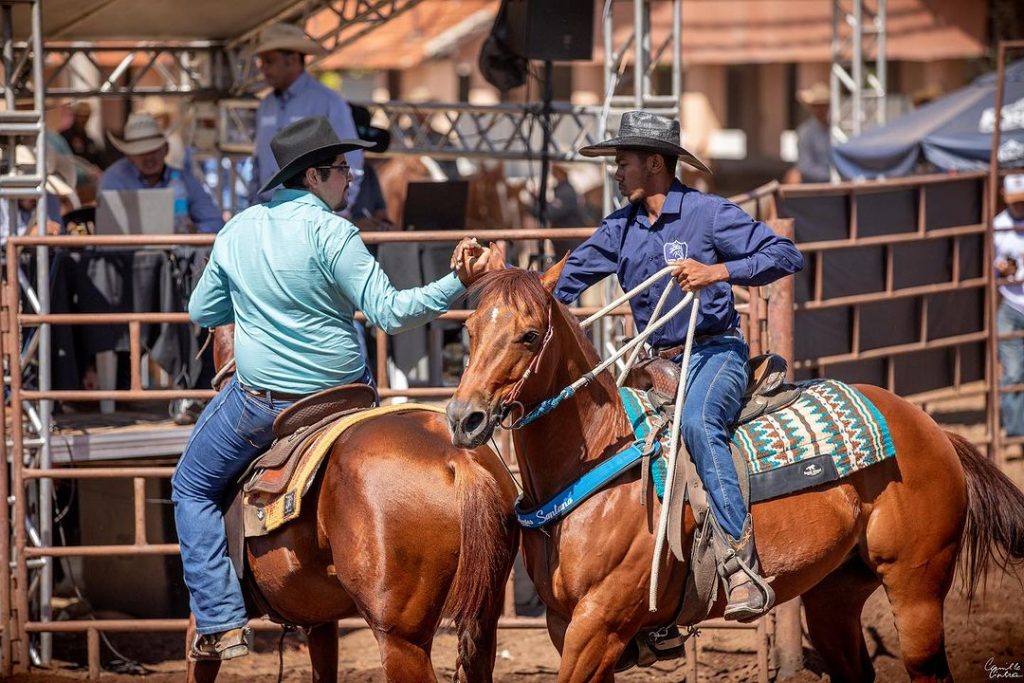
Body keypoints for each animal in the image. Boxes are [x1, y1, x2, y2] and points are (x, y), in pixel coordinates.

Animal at [446, 262, 1024, 683]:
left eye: (529, 334)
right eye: (469, 329)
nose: (463, 417)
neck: (595, 468)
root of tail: (932, 430)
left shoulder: (599, 626)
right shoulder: (565, 625)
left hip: (916, 586)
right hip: (834, 595)